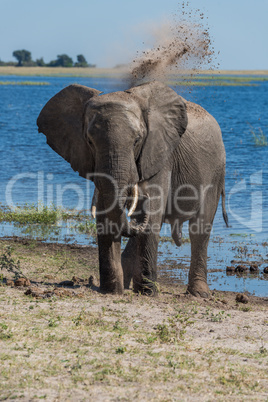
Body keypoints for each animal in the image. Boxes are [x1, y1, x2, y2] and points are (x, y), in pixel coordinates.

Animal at [36, 80, 227, 296]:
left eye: (137, 140)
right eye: (90, 141)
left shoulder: (159, 153)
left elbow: (152, 214)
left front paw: (147, 293)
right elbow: (106, 213)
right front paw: (111, 291)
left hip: (215, 172)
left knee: (198, 228)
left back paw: (198, 294)